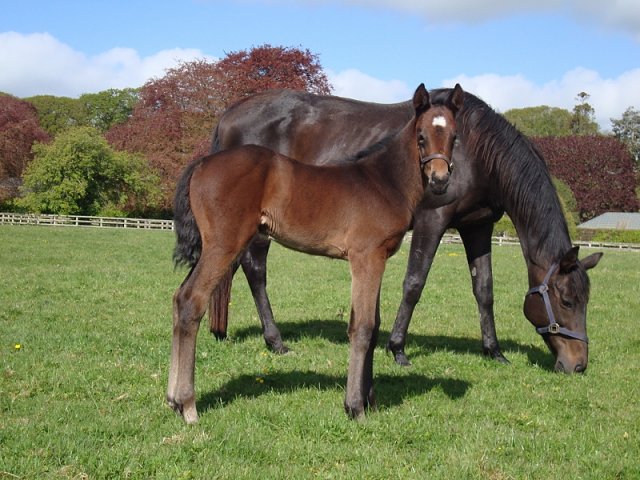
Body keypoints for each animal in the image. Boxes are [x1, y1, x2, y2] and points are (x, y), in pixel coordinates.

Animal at [168, 84, 462, 422]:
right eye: (421, 136)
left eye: (454, 136)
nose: (440, 180)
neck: (382, 181)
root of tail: (202, 163)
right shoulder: (366, 257)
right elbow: (362, 328)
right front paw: (355, 407)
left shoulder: (377, 260)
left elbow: (373, 326)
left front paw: (370, 400)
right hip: (223, 244)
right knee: (192, 301)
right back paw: (188, 405)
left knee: (179, 297)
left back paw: (172, 400)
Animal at [209, 86, 600, 374]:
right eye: (566, 300)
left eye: (586, 300)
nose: (578, 365)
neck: (477, 150)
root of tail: (228, 115)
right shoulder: (432, 220)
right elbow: (414, 283)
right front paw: (397, 349)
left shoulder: (477, 226)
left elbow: (484, 290)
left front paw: (494, 351)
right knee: (255, 271)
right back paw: (275, 341)